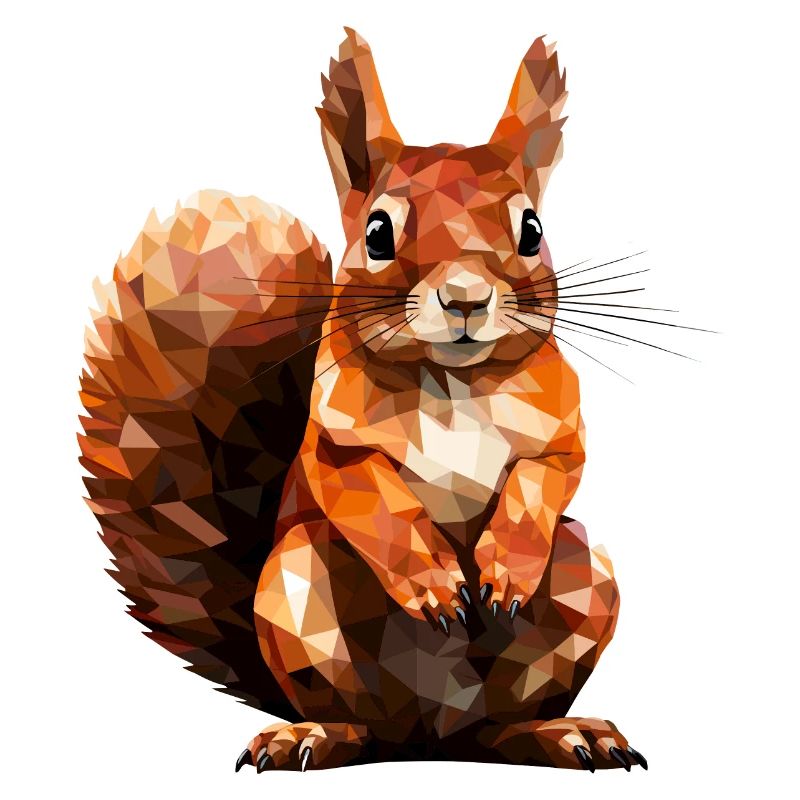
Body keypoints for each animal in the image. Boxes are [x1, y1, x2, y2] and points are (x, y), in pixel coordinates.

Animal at [79, 28, 647, 774]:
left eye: (532, 230)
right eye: (377, 234)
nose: (465, 298)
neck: (452, 383)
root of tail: (433, 738)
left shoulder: (560, 430)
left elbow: (544, 479)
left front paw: (504, 568)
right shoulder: (333, 441)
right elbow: (372, 497)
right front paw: (434, 581)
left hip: (588, 579)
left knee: (499, 728)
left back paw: (563, 731)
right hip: (295, 590)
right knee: (361, 724)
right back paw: (312, 734)